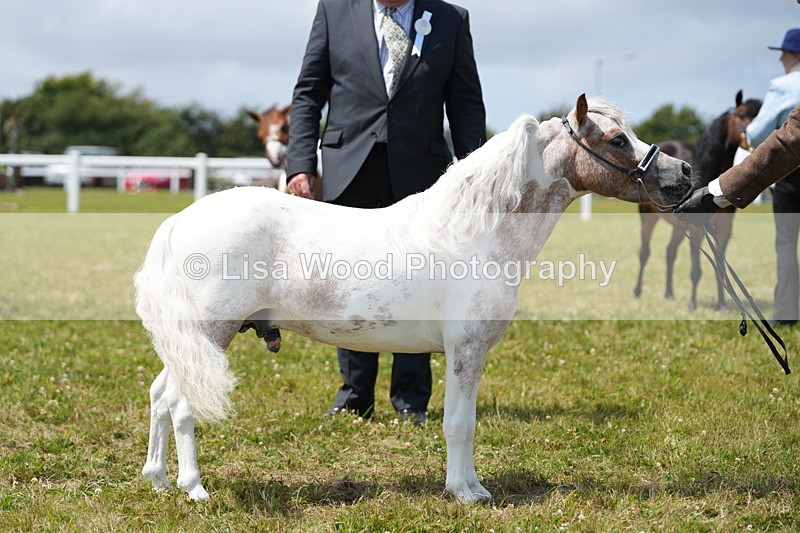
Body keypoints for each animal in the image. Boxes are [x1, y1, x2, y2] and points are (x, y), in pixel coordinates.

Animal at [135, 94, 692, 503]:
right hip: (211, 336)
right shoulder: (466, 350)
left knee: (160, 396)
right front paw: (466, 492)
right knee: (182, 406)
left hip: (191, 343)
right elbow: (459, 424)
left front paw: (471, 487)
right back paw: (194, 489)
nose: (682, 174)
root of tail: (180, 221)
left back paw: (157, 481)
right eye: (618, 139)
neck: (475, 232)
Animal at [633, 91, 762, 311]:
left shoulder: (724, 228)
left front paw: (722, 304)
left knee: (670, 252)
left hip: (678, 225)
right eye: (742, 114)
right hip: (648, 218)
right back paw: (638, 292)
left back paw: (669, 294)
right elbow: (696, 269)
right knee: (644, 252)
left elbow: (721, 266)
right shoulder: (697, 228)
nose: (755, 140)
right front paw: (692, 304)